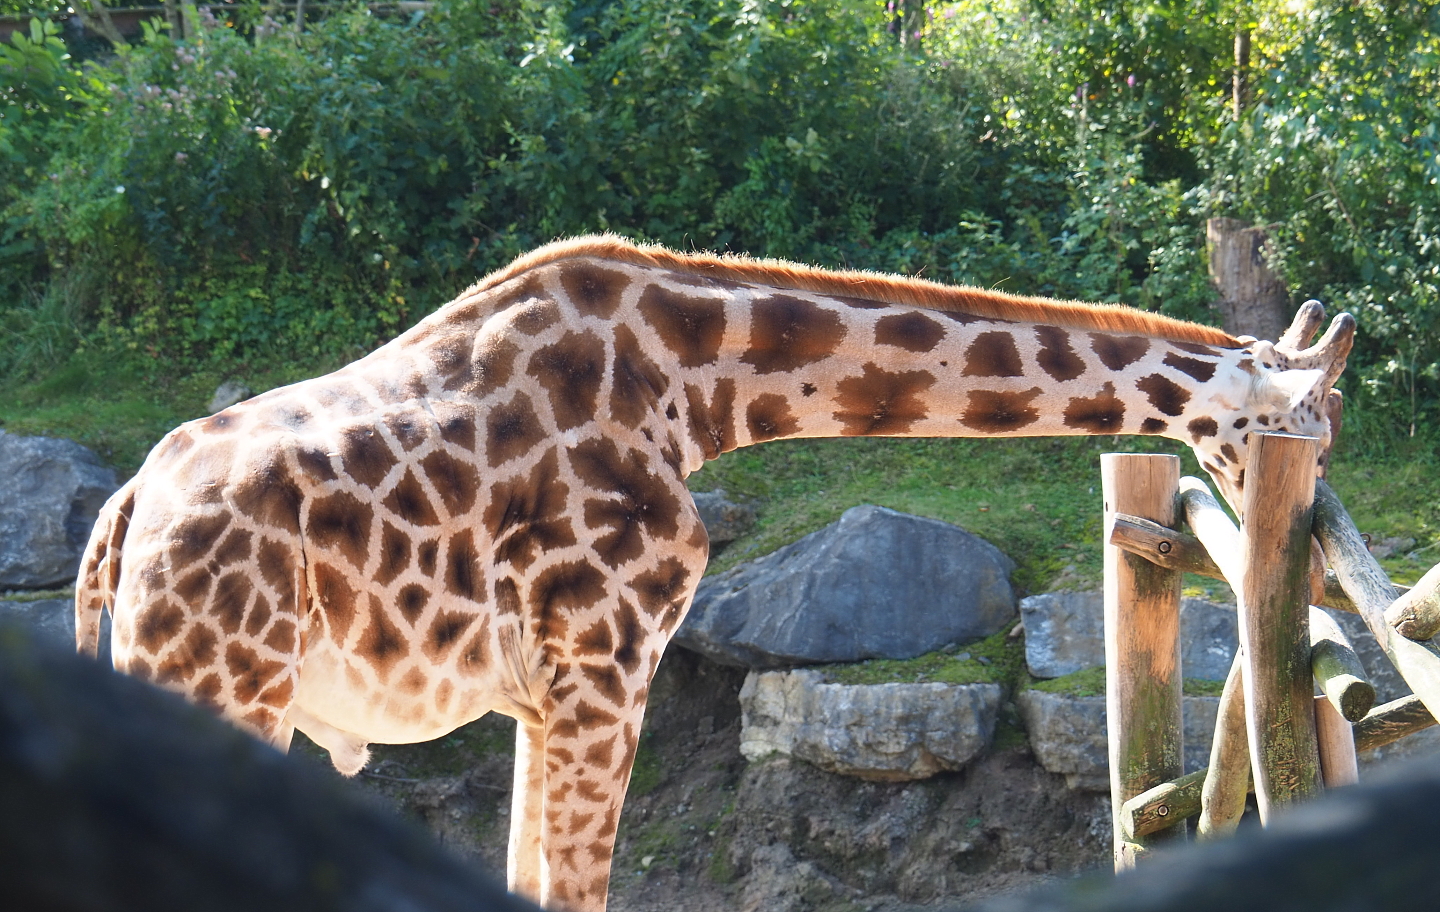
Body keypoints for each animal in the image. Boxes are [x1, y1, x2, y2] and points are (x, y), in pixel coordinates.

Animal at [75, 235, 1354, 911]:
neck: (695, 386)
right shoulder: (606, 662)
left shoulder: (546, 692)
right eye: (1317, 429)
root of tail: (120, 519)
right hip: (223, 685)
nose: (1315, 558)